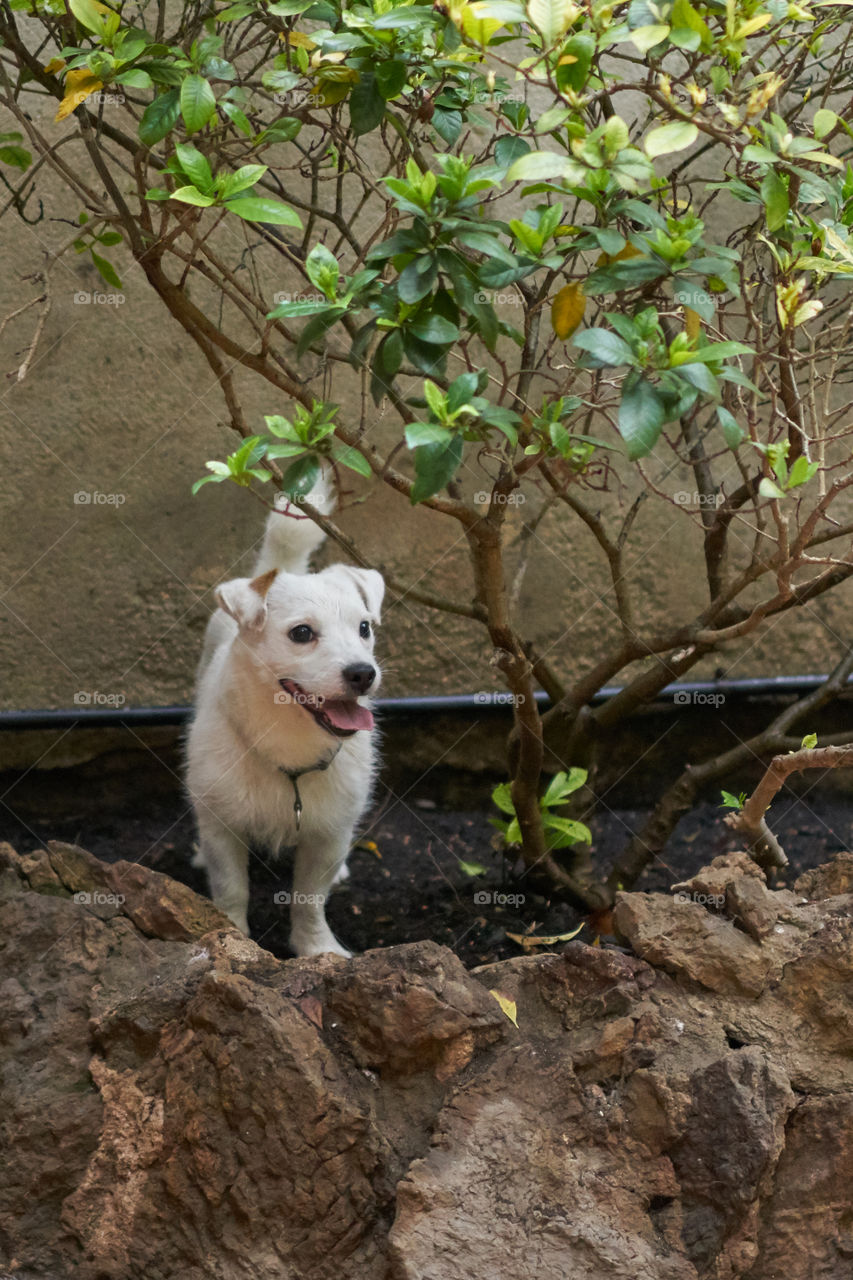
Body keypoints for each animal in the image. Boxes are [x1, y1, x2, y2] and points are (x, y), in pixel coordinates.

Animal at [189, 483, 384, 957]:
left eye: (365, 628)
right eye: (301, 633)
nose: (363, 672)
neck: (291, 742)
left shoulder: (326, 836)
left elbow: (309, 899)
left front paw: (317, 948)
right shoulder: (224, 829)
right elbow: (231, 889)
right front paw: (232, 937)